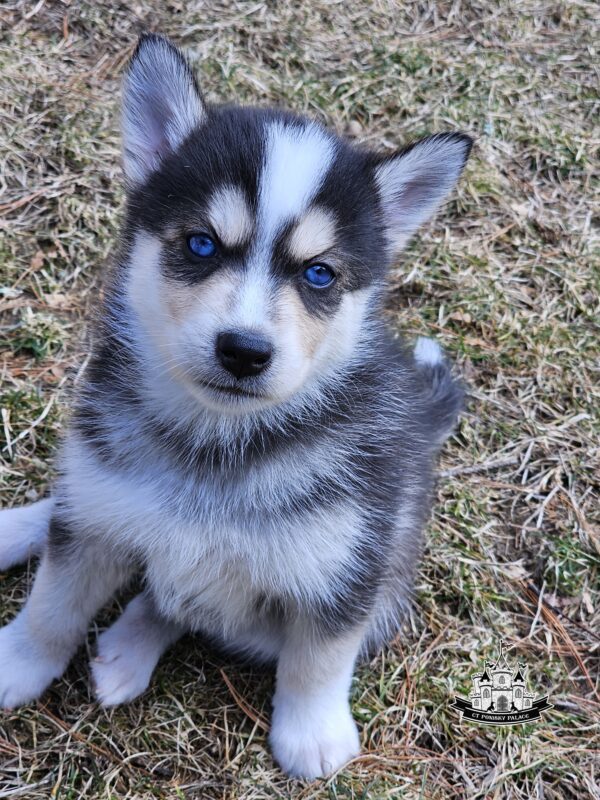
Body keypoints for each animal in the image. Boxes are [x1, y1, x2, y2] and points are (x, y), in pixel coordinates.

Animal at [0, 34, 472, 780]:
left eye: (319, 274)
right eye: (201, 243)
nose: (244, 351)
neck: (218, 441)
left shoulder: (345, 566)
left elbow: (319, 658)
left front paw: (313, 734)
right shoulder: (94, 521)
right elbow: (54, 600)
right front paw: (17, 661)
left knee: (180, 603)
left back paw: (128, 650)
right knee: (82, 512)